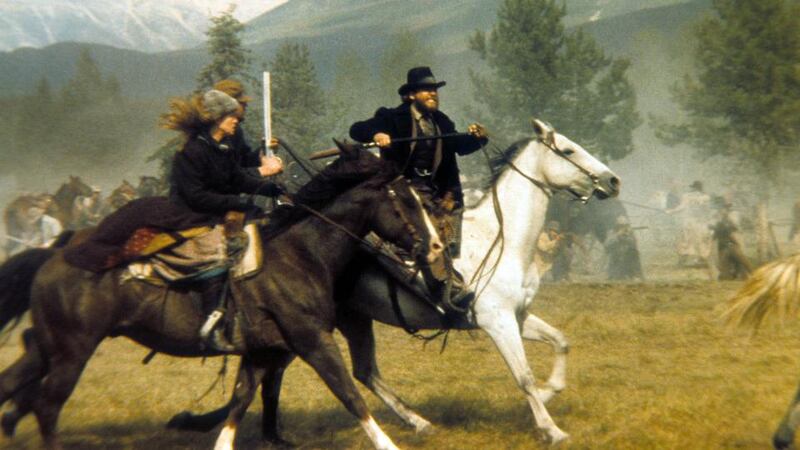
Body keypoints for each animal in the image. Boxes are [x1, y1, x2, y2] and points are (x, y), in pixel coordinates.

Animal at [0, 145, 440, 450]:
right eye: (405, 201)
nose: (435, 247)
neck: (300, 253)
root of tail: (55, 254)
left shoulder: (263, 350)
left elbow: (241, 399)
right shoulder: (313, 341)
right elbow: (349, 392)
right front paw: (391, 441)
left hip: (49, 348)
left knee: (16, 386)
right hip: (72, 351)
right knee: (46, 406)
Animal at [169, 118, 620, 448]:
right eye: (568, 150)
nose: (613, 180)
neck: (502, 236)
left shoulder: (519, 316)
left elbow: (561, 342)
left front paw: (550, 392)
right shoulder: (497, 321)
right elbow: (523, 375)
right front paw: (551, 429)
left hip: (351, 321)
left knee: (362, 371)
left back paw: (413, 422)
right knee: (293, 374)